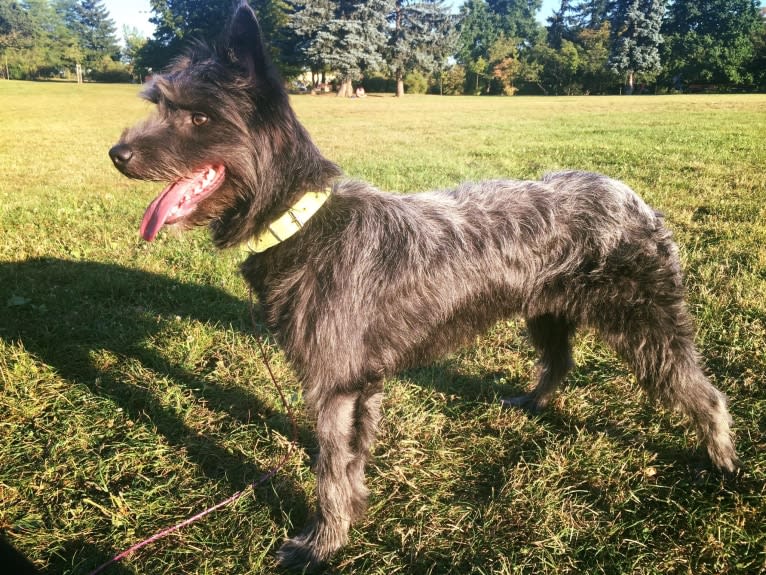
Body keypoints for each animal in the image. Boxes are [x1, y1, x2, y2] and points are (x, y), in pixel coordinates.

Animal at [106, 3, 736, 572]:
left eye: (199, 118)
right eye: (161, 105)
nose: (118, 153)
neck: (303, 223)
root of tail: (633, 199)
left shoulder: (334, 388)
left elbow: (330, 474)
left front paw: (320, 545)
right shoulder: (360, 388)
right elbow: (350, 463)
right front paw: (348, 518)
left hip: (645, 324)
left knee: (702, 392)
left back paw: (723, 460)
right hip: (546, 311)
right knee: (559, 362)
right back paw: (533, 402)